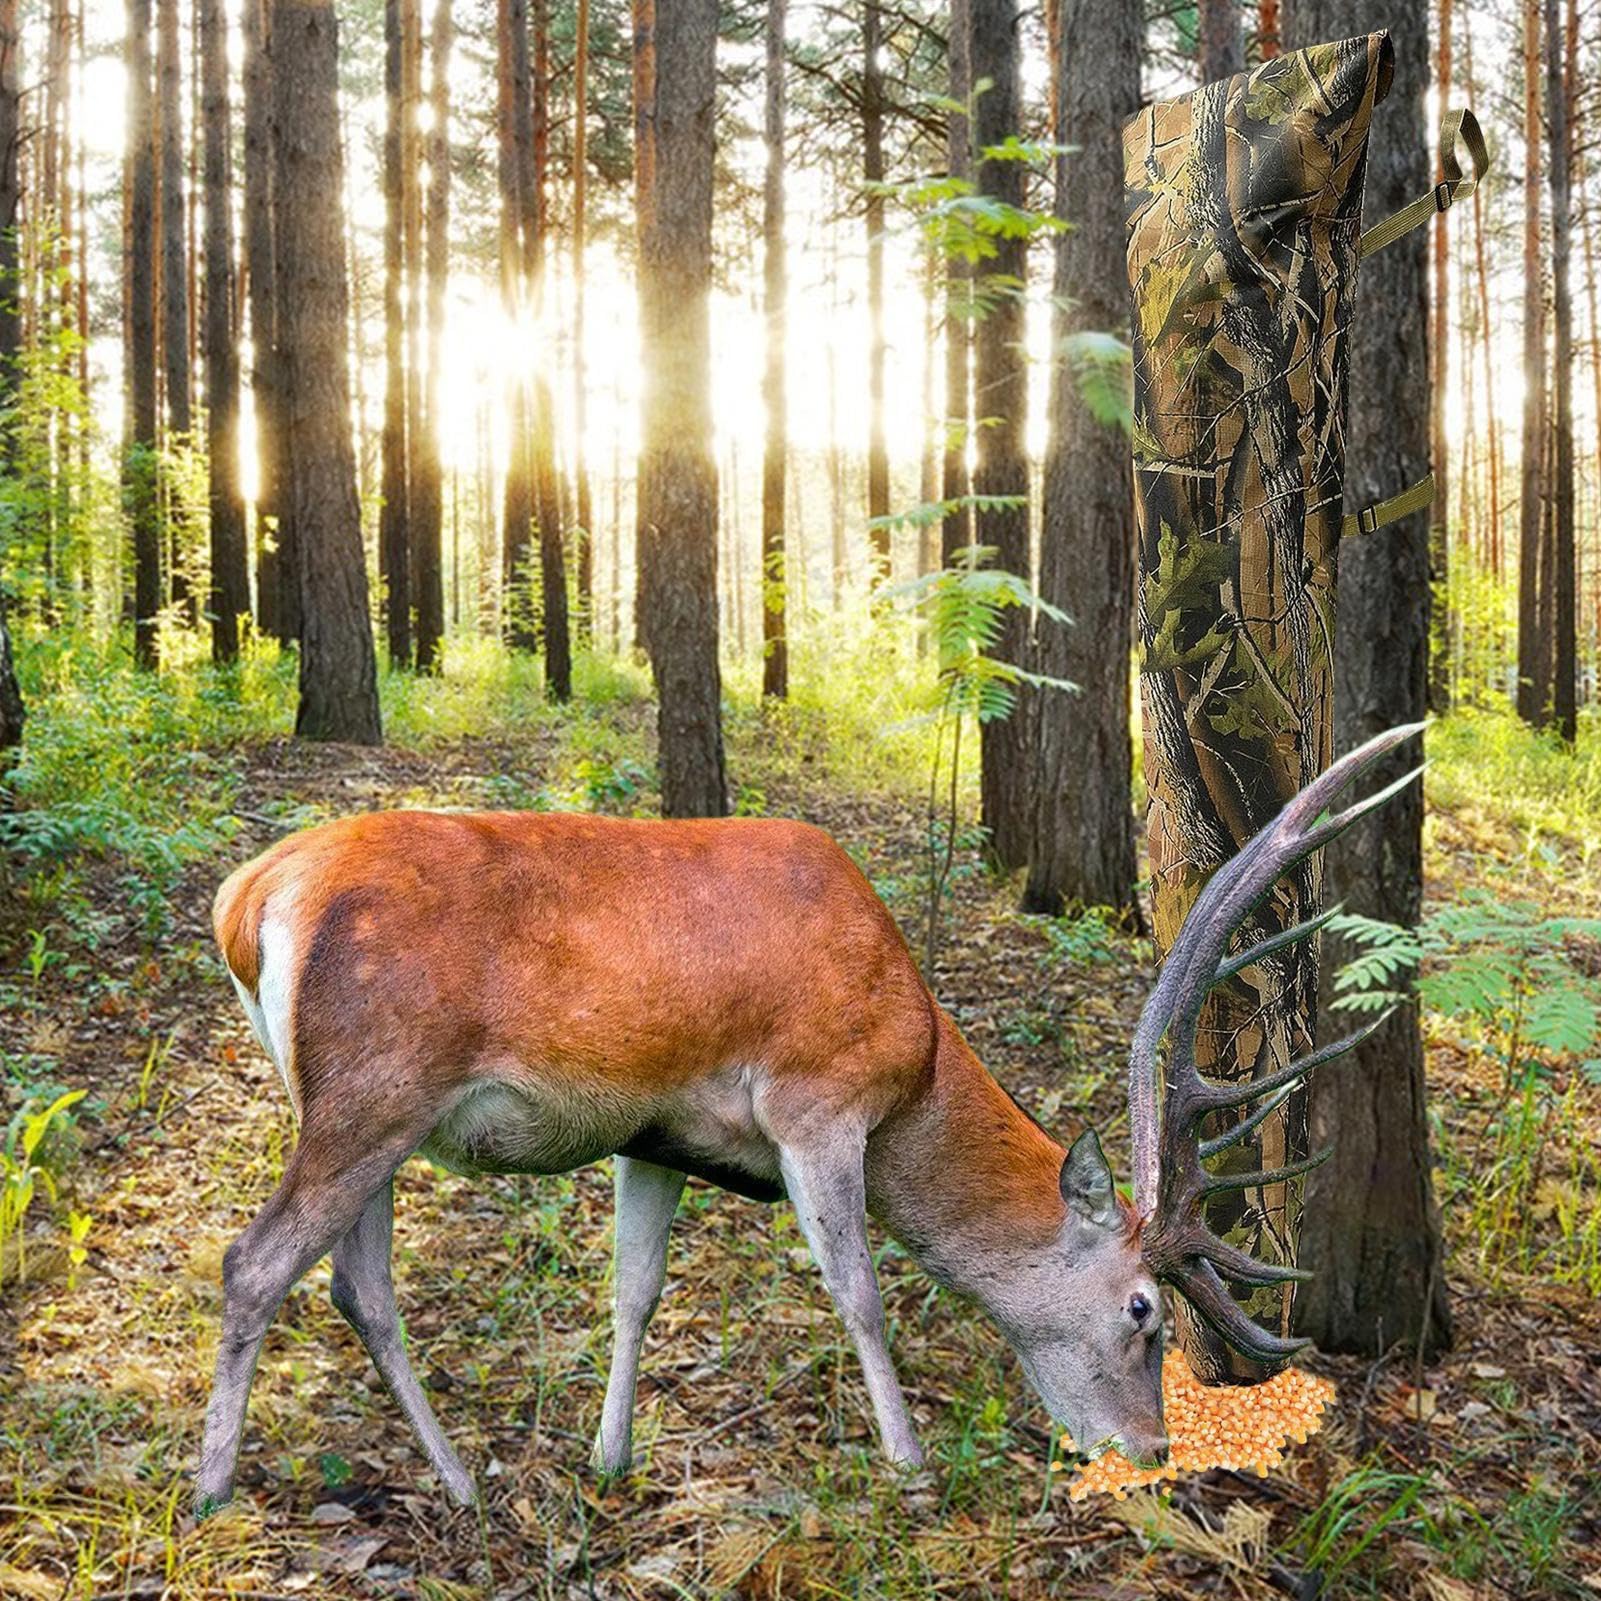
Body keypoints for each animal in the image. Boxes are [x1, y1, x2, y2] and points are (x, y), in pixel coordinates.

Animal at [192, 722, 1421, 1517]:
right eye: (1141, 1309)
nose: (1152, 1447)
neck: (915, 1060)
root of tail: (244, 899)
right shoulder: (817, 1101)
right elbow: (860, 1290)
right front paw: (910, 1468)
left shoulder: (655, 1132)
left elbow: (634, 1290)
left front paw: (609, 1459)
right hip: (372, 1090)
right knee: (254, 1260)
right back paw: (210, 1489)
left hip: (375, 1118)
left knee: (358, 1288)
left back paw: (455, 1480)